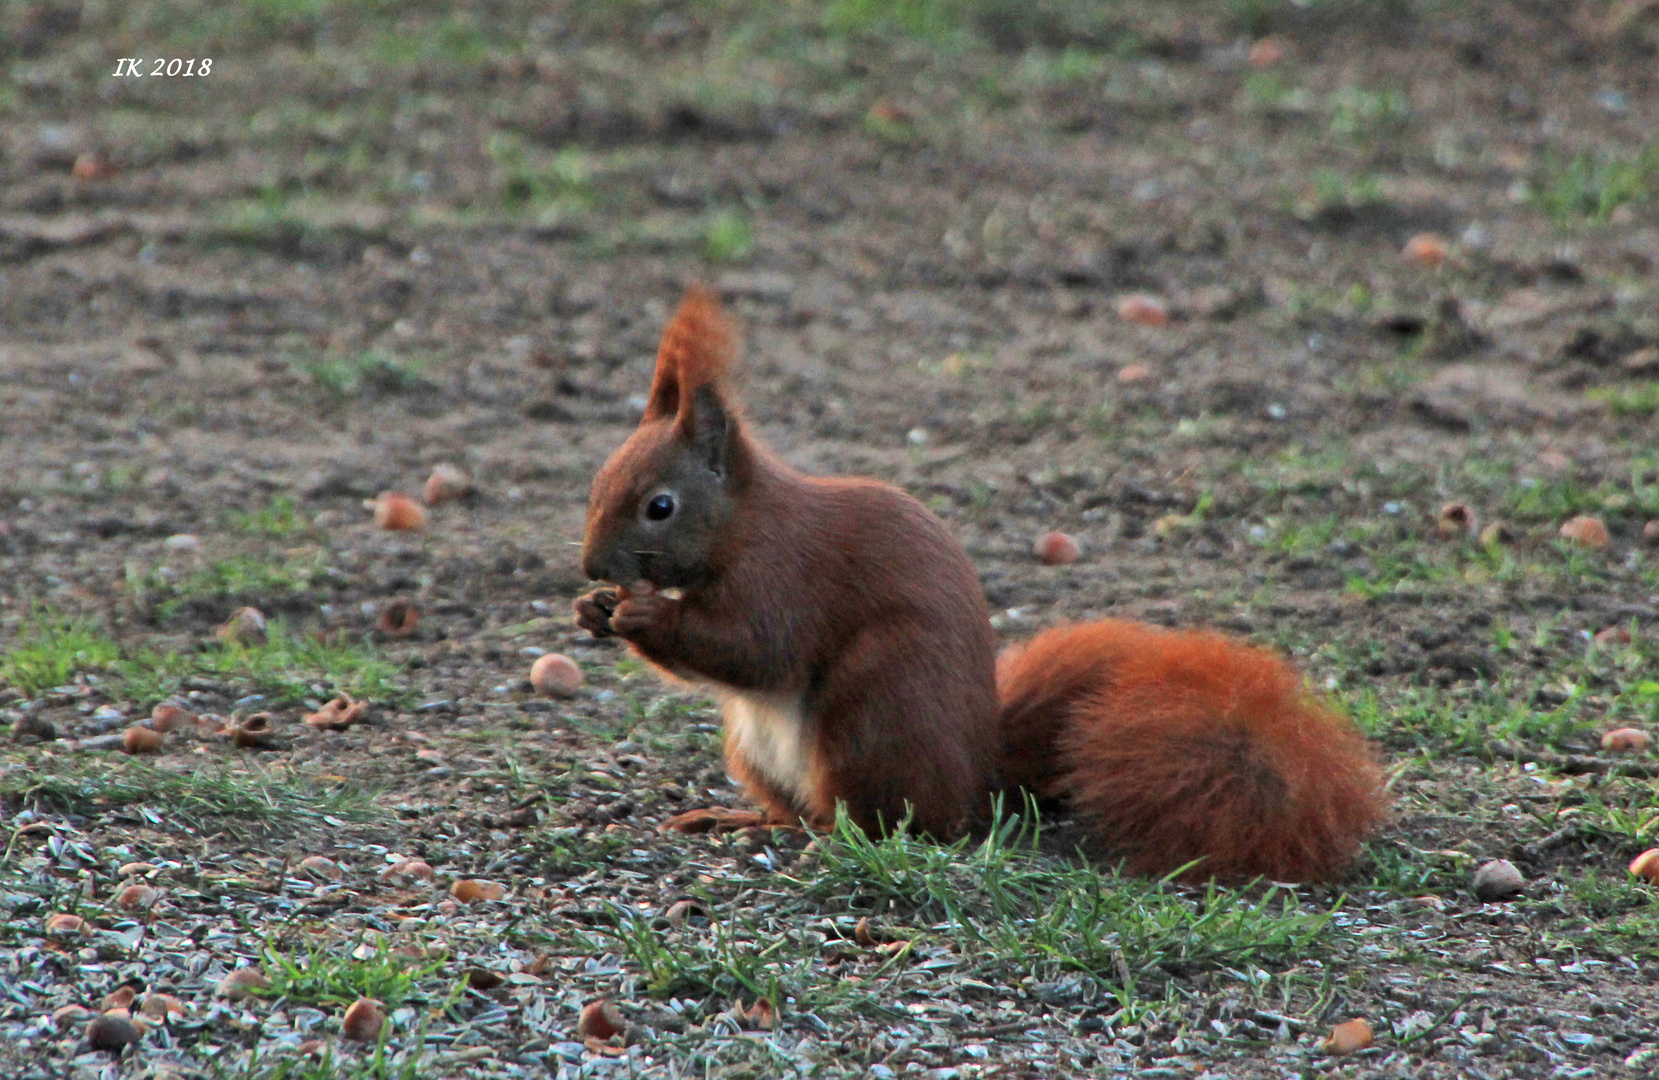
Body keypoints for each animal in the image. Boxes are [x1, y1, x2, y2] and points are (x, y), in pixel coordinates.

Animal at [570, 285, 1386, 875]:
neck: (744, 523)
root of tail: (973, 779)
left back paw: (822, 837)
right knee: (796, 806)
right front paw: (593, 608)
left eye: (659, 506)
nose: (591, 567)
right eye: (597, 483)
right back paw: (740, 817)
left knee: (885, 821)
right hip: (753, 746)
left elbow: (756, 648)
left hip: (872, 709)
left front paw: (643, 616)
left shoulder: (785, 575)